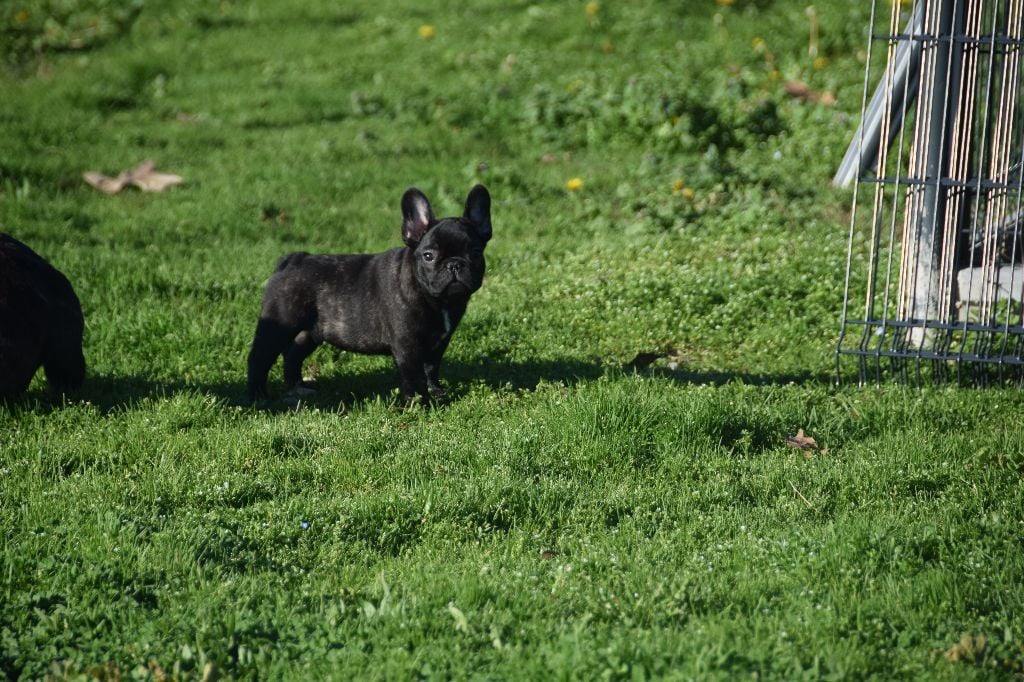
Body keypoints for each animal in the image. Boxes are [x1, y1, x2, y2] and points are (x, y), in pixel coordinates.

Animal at [243, 183, 491, 401]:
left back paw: (297, 388)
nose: (454, 264)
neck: (438, 300)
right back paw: (258, 396)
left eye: (476, 253)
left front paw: (436, 391)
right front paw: (419, 402)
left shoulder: (439, 342)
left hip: (310, 331)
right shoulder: (408, 345)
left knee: (293, 354)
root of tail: (291, 260)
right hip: (278, 327)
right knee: (259, 359)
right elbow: (414, 374)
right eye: (428, 256)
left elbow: (431, 367)